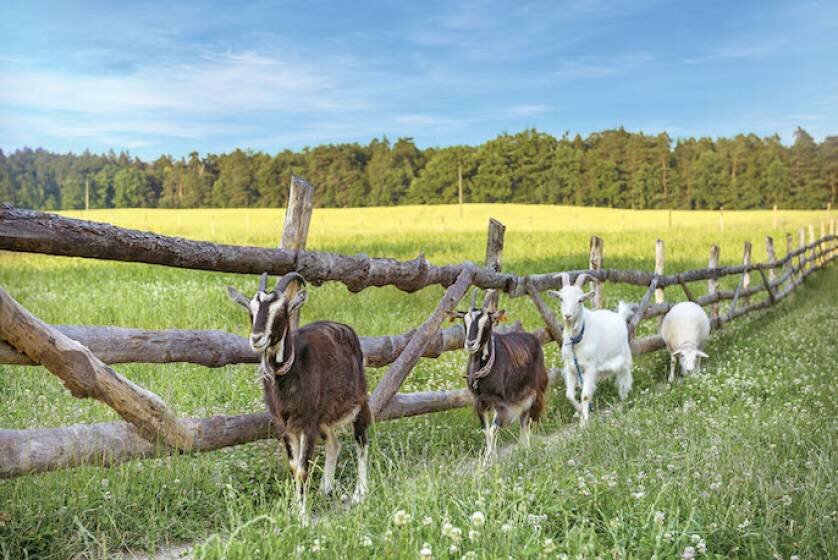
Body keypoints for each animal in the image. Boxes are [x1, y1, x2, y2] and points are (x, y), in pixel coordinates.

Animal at [226, 274, 370, 524]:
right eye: (251, 310)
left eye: (281, 311)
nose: (257, 338)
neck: (291, 371)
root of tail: (345, 328)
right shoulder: (285, 425)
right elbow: (294, 467)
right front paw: (294, 509)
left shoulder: (307, 423)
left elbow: (303, 469)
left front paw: (302, 518)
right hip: (324, 416)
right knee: (334, 443)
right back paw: (326, 489)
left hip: (358, 402)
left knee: (361, 443)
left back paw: (360, 492)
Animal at [456, 288, 548, 460]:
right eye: (465, 321)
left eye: (487, 323)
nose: (470, 343)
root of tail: (533, 337)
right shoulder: (480, 401)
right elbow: (486, 431)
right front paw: (487, 458)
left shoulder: (500, 402)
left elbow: (493, 430)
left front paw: (491, 459)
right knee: (523, 419)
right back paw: (522, 448)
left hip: (535, 391)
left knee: (526, 420)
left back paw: (526, 449)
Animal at [548, 272, 632, 424]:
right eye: (561, 299)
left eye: (580, 300)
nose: (567, 316)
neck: (577, 340)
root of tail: (619, 315)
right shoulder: (570, 368)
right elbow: (569, 395)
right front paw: (580, 411)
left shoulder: (590, 367)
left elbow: (585, 395)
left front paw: (584, 422)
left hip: (624, 356)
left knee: (625, 377)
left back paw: (624, 398)